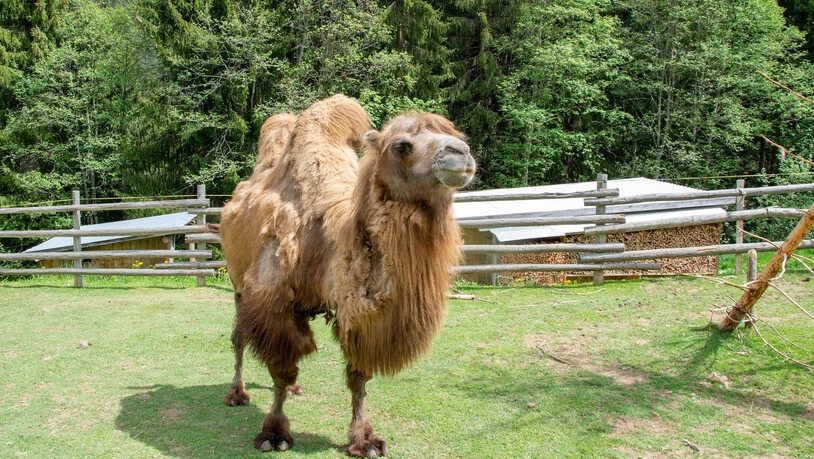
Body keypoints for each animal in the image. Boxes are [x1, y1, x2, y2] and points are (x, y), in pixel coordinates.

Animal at [219, 95, 476, 457]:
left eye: (458, 136)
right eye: (401, 146)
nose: (461, 154)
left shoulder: (360, 318)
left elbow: (358, 379)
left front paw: (364, 439)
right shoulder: (272, 303)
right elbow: (280, 370)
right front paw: (274, 433)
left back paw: (294, 388)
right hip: (237, 282)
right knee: (239, 337)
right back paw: (236, 394)